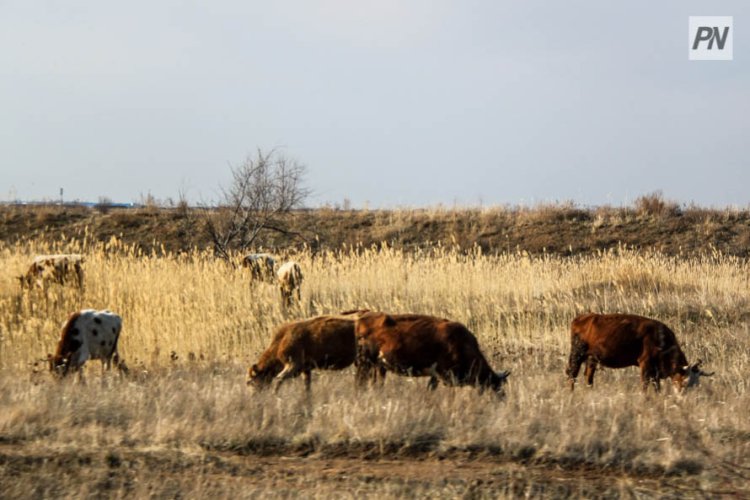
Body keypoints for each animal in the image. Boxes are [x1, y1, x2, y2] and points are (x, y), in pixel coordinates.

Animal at [356, 312, 512, 394]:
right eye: (496, 386)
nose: (503, 398)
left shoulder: (435, 376)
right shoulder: (444, 375)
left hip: (378, 367)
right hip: (366, 364)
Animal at [568, 312, 712, 390]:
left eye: (695, 384)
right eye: (685, 382)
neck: (660, 339)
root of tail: (581, 318)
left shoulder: (655, 372)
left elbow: (657, 387)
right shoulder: (645, 364)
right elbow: (644, 385)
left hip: (592, 358)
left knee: (588, 376)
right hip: (577, 354)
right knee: (572, 374)